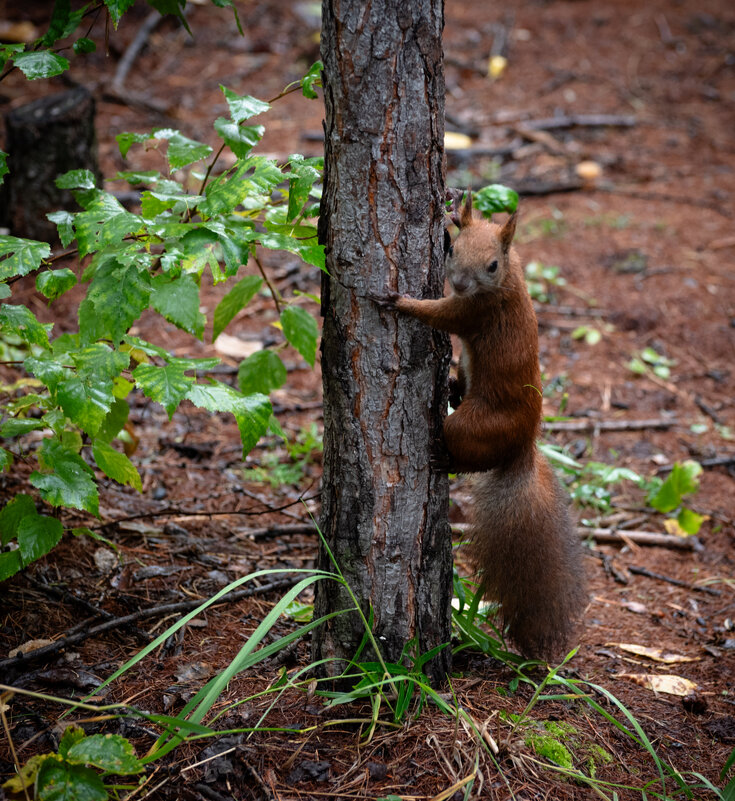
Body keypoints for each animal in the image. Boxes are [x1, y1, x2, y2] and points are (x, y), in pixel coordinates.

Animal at [374, 191, 588, 660]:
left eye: (492, 265)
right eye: (452, 250)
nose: (458, 284)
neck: (507, 281)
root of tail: (523, 446)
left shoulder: (474, 312)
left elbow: (440, 315)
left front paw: (400, 302)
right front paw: (456, 213)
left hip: (471, 428)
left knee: (469, 456)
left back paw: (446, 459)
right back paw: (454, 387)